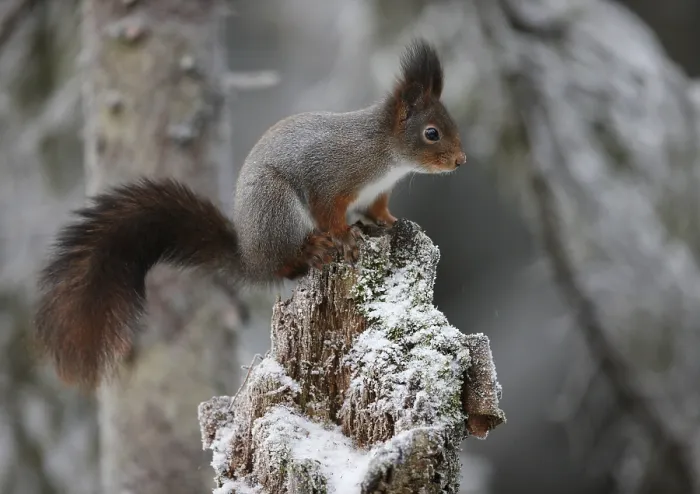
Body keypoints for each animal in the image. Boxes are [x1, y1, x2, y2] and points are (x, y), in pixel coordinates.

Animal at [34, 39, 466, 388]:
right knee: (287, 264)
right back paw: (314, 249)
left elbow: (379, 211)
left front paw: (392, 224)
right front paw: (346, 236)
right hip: (278, 208)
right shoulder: (330, 178)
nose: (461, 161)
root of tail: (251, 257)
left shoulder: (376, 194)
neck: (385, 153)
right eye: (431, 133)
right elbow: (328, 211)